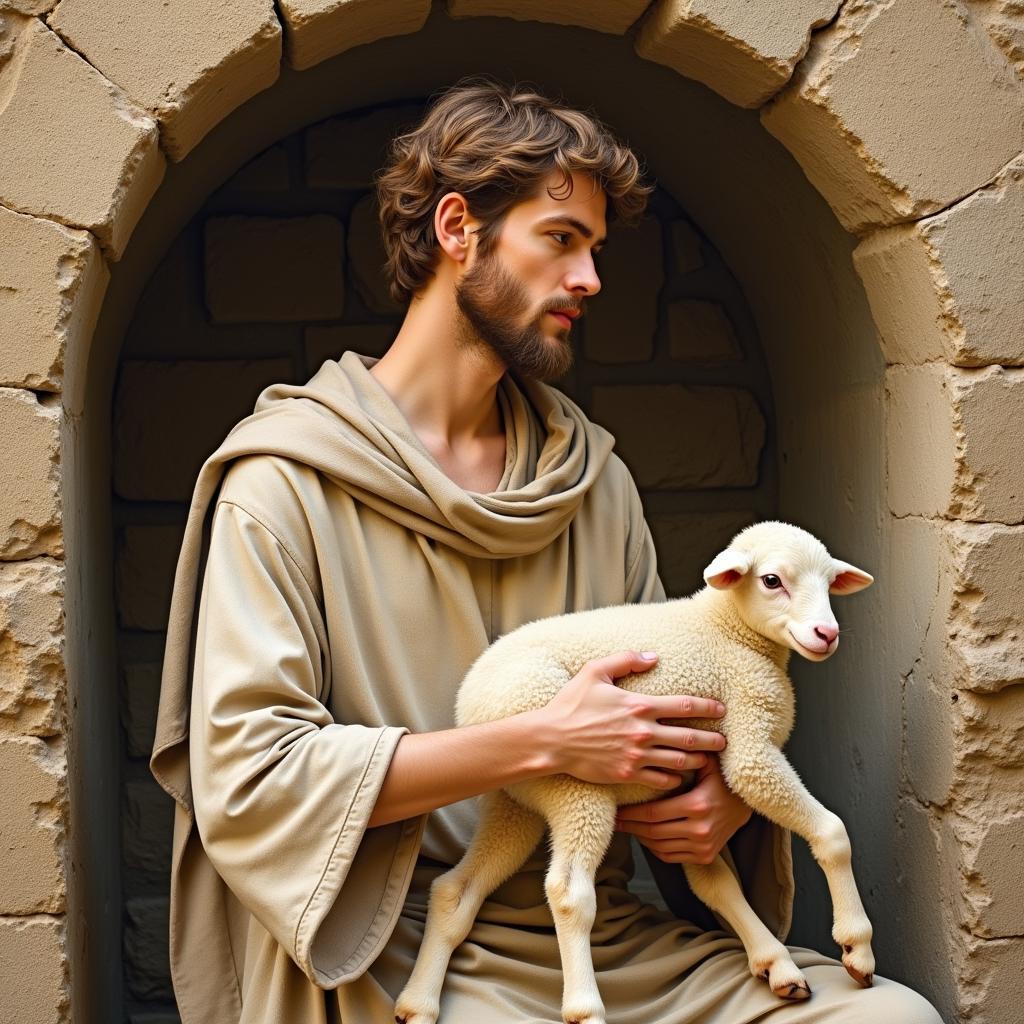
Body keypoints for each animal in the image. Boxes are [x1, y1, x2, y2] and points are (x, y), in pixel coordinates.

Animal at [395, 520, 876, 1024]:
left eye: (830, 583)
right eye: (771, 580)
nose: (827, 633)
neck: (729, 629)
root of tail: (469, 706)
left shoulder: (680, 783)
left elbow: (713, 882)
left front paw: (775, 962)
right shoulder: (749, 741)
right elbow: (831, 831)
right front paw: (856, 946)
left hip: (511, 799)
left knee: (455, 889)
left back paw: (418, 1003)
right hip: (574, 779)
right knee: (568, 892)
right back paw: (584, 1007)